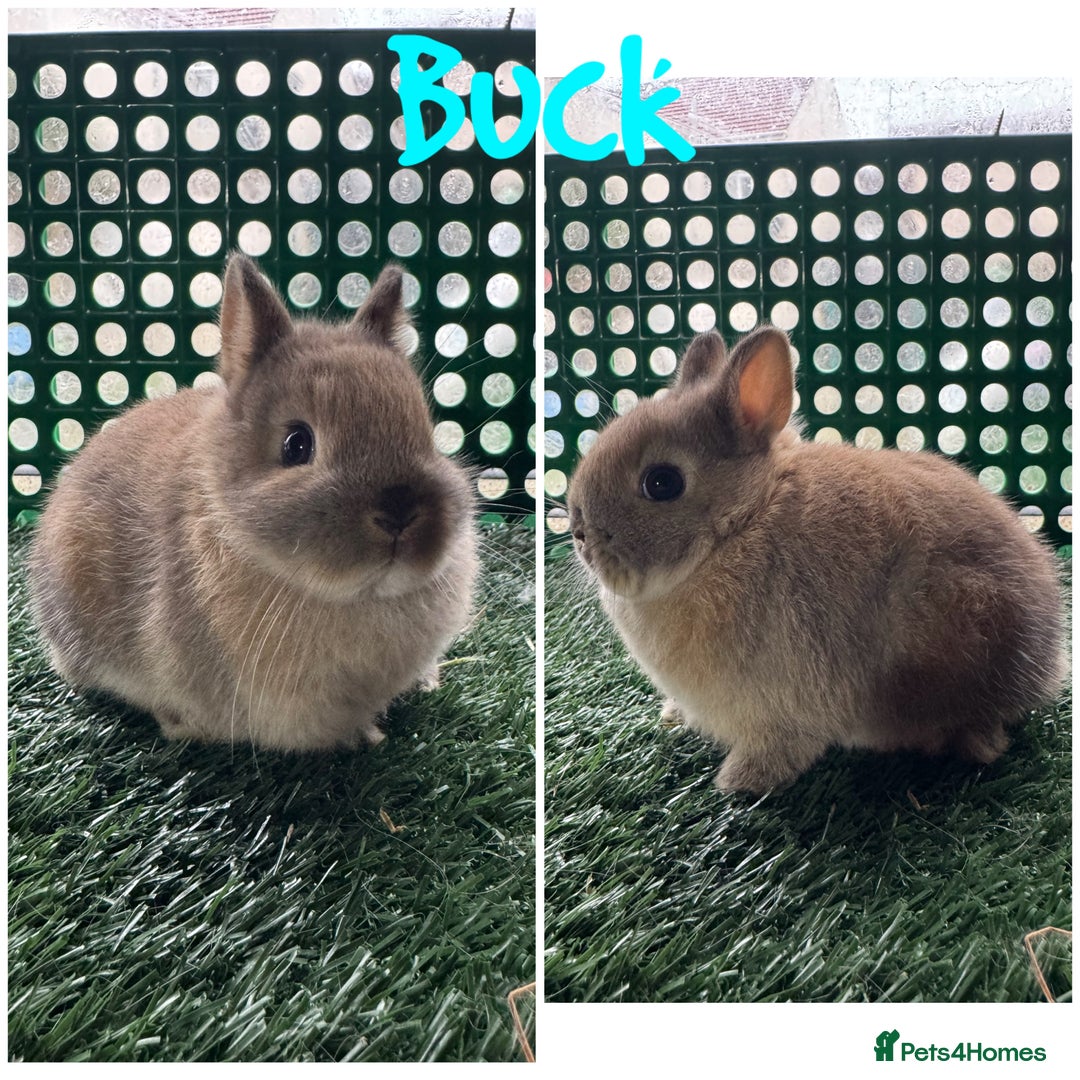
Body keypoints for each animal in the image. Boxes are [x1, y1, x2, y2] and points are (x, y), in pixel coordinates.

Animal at [566, 325, 1067, 794]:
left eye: (662, 483)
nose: (578, 532)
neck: (743, 523)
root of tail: (1048, 665)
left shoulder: (786, 706)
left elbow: (780, 748)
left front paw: (736, 783)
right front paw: (674, 718)